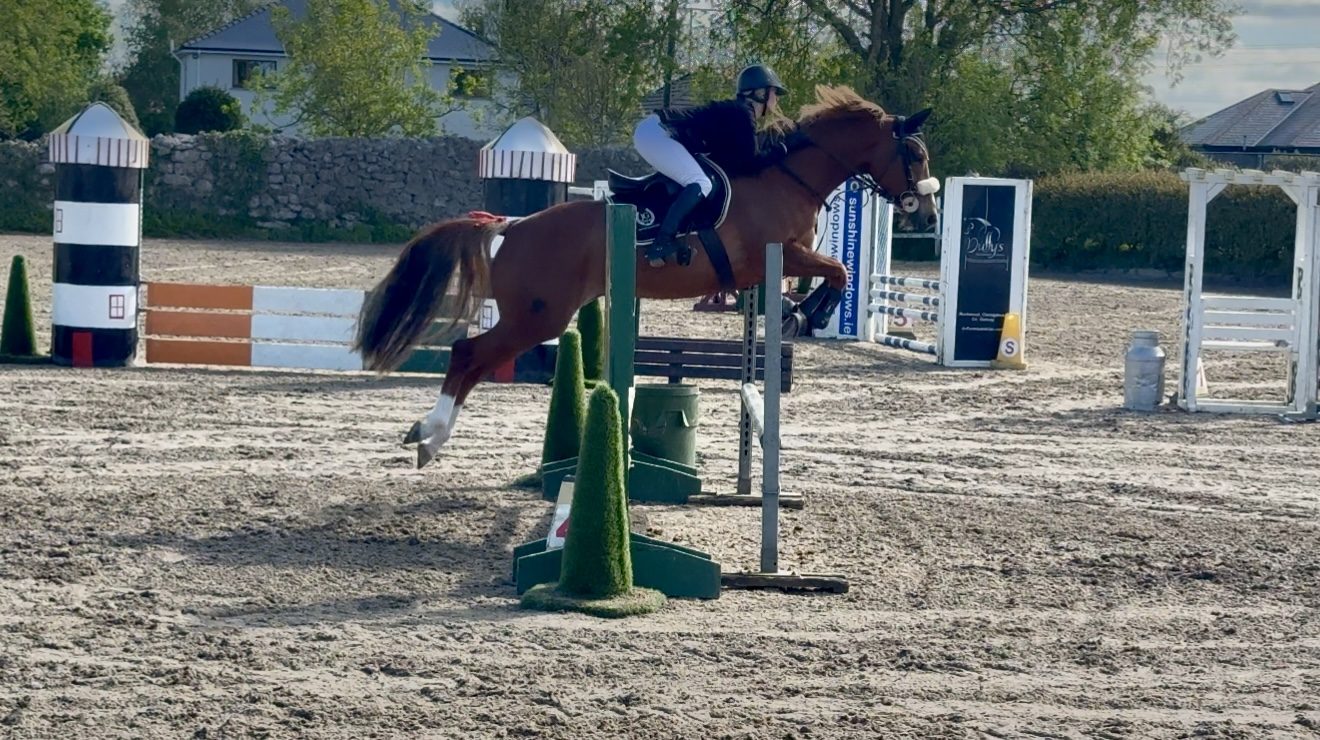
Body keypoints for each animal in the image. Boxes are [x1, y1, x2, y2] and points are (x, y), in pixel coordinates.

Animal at [353, 85, 941, 469]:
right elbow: (838, 271)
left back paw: (429, 436)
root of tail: (513, 225)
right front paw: (805, 315)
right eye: (913, 153)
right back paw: (430, 438)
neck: (790, 177)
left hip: (536, 316)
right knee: (467, 355)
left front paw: (802, 313)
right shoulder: (780, 255)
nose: (929, 215)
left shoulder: (777, 265)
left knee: (472, 361)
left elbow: (835, 273)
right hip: (539, 317)